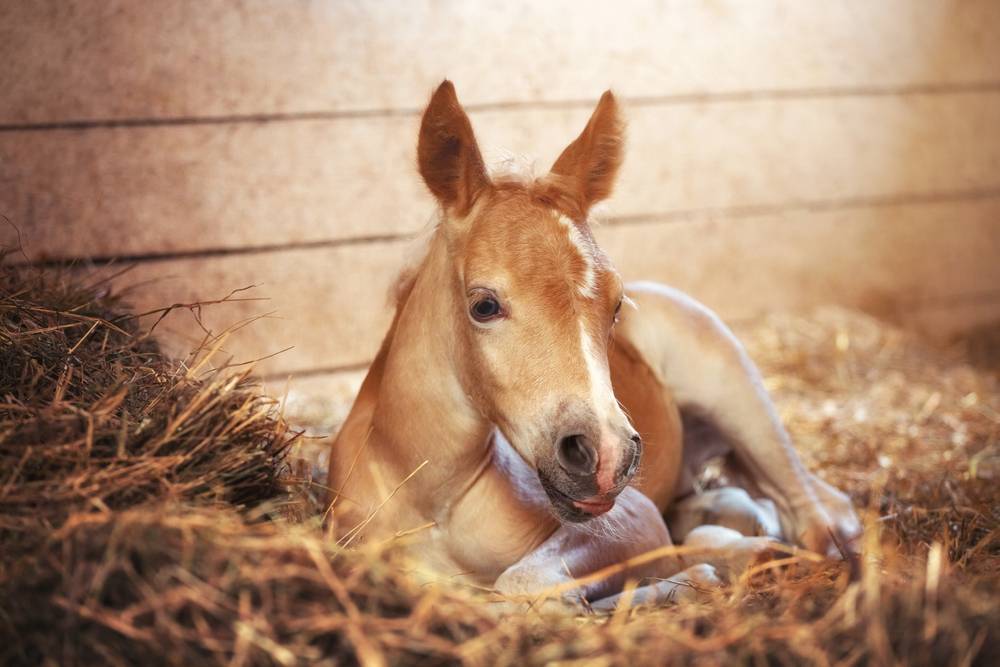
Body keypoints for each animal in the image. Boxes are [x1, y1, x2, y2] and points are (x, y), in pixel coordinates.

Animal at [328, 81, 860, 608]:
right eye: (484, 305)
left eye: (617, 304)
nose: (605, 457)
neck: (431, 496)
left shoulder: (634, 516)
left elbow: (520, 585)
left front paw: (694, 577)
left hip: (738, 395)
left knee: (820, 510)